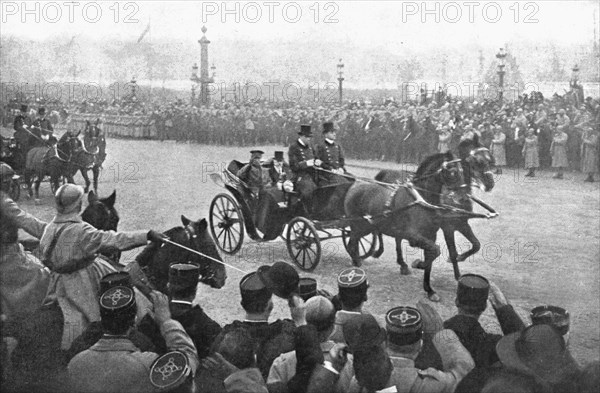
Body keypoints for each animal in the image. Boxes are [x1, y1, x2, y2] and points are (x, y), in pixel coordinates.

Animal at [344, 151, 466, 300]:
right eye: (453, 172)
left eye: (462, 170)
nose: (463, 198)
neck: (421, 199)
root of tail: (355, 185)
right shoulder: (413, 236)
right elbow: (435, 251)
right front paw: (418, 264)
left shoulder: (430, 236)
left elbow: (431, 256)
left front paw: (429, 290)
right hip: (358, 226)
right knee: (351, 244)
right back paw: (357, 265)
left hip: (366, 227)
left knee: (355, 242)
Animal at [376, 136, 496, 280]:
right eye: (477, 161)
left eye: (490, 159)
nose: (490, 184)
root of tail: (387, 172)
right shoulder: (447, 226)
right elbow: (452, 251)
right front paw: (456, 273)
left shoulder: (462, 223)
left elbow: (476, 245)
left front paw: (459, 261)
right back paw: (392, 258)